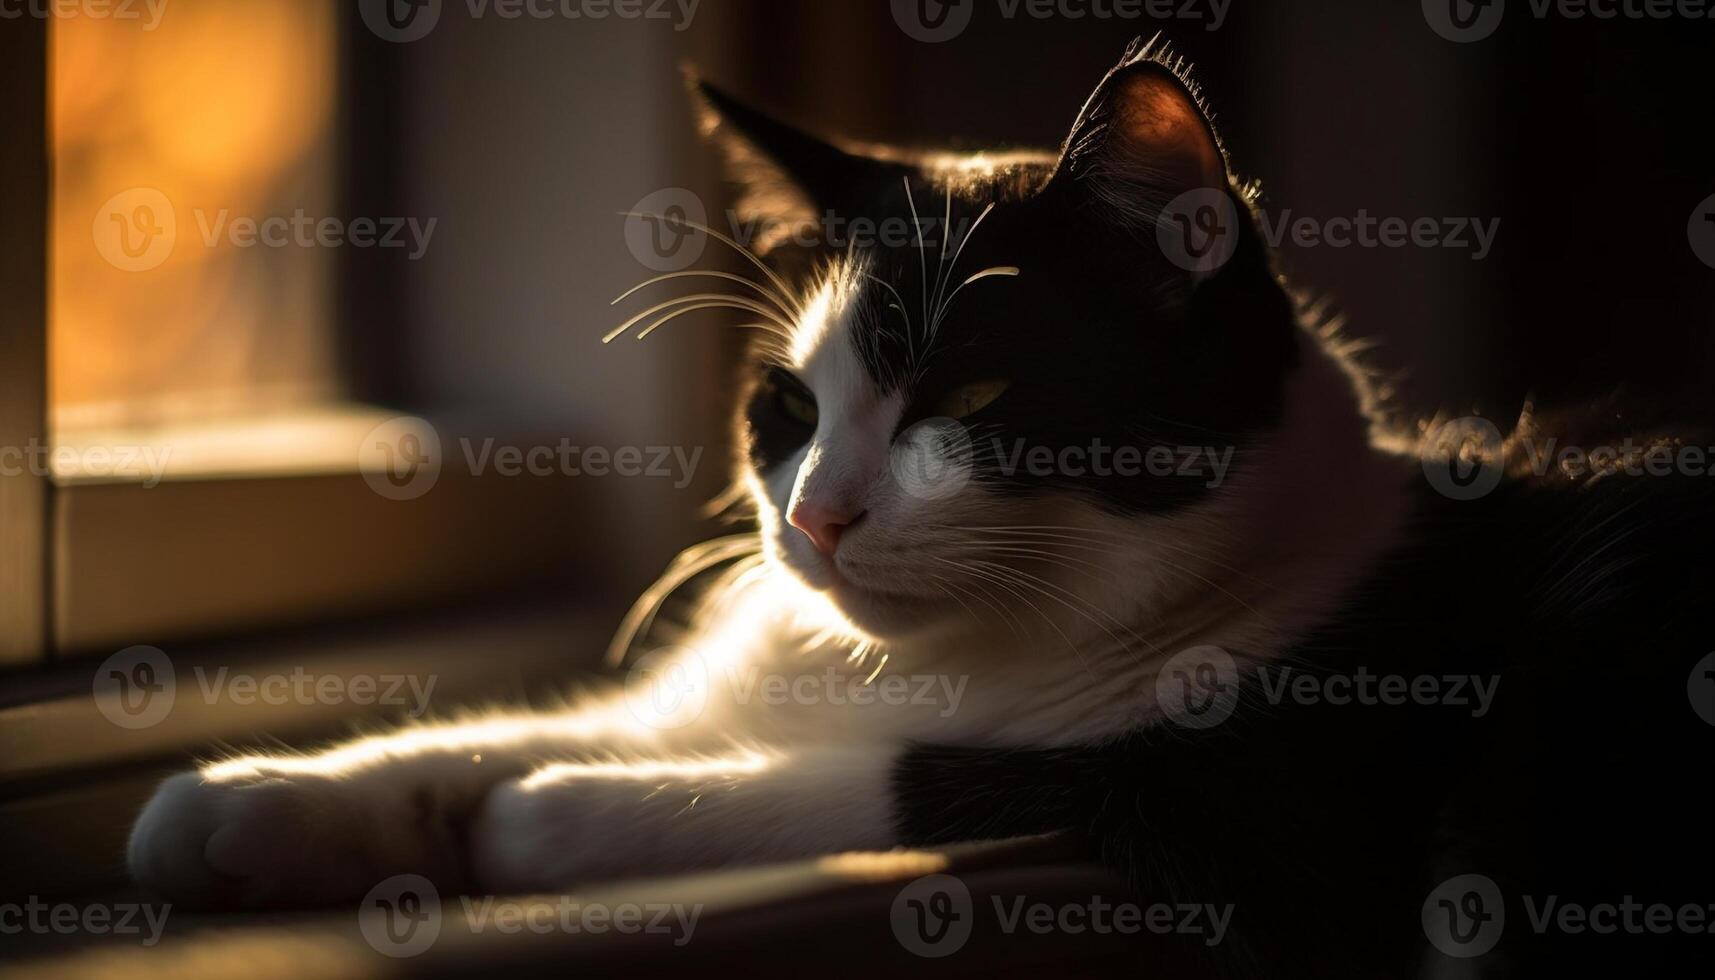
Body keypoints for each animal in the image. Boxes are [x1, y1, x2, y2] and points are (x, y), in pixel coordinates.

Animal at [126, 34, 1708, 974]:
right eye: (790, 405)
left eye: (970, 398)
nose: (814, 518)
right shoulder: (723, 681)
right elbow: (511, 726)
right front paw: (241, 805)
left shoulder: (1277, 803)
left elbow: (905, 775)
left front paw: (547, 817)